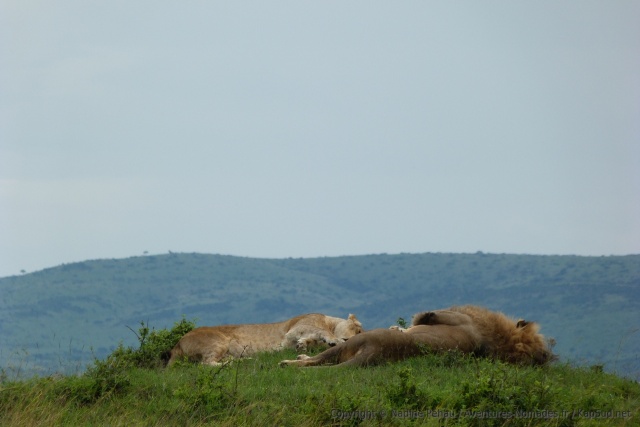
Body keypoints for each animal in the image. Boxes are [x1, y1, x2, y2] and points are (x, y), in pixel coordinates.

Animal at [167, 313, 363, 366]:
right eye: (359, 329)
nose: (354, 340)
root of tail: (177, 344)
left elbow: (309, 341)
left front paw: (303, 346)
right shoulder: (293, 330)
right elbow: (319, 331)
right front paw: (335, 341)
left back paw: (245, 360)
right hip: (218, 340)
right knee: (205, 364)